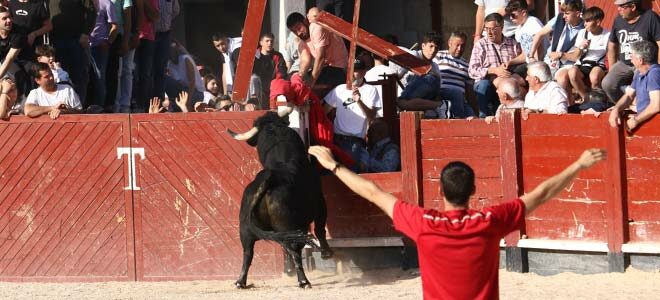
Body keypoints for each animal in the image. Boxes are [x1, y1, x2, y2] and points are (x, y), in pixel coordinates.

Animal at [228, 110, 332, 288]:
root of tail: (269, 178)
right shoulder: (320, 203)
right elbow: (320, 229)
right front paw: (326, 253)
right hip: (288, 226)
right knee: (294, 250)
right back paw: (304, 281)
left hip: (246, 230)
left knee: (248, 253)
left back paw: (241, 282)